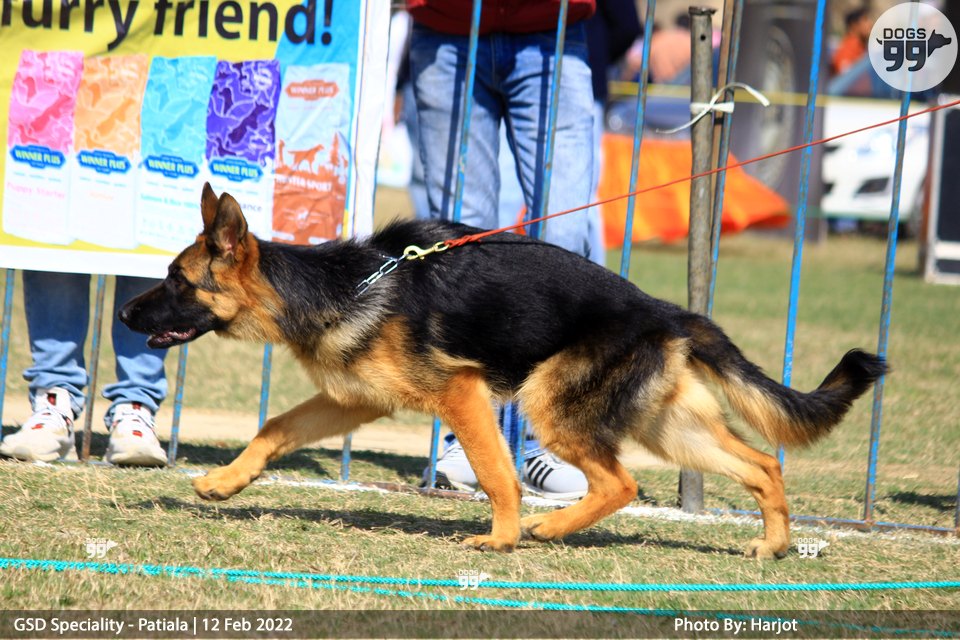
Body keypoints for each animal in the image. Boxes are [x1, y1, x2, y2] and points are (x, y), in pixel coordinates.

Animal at [120, 184, 886, 558]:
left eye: (177, 280)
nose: (124, 312)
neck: (343, 284)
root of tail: (667, 312)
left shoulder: (459, 394)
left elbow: (495, 472)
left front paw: (502, 537)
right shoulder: (355, 401)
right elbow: (276, 426)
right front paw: (226, 482)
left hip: (553, 404)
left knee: (621, 481)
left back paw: (550, 531)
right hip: (671, 429)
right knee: (763, 464)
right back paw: (773, 547)